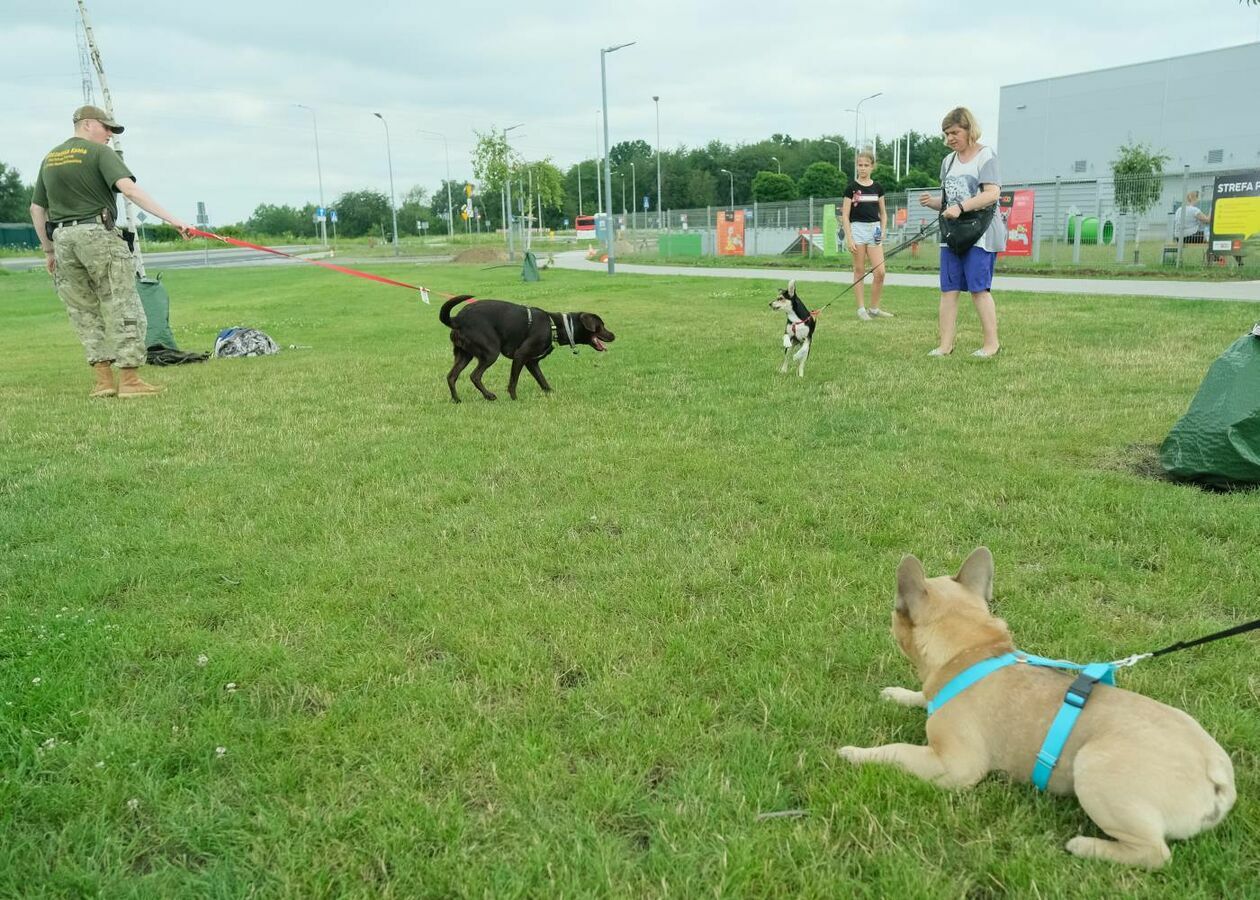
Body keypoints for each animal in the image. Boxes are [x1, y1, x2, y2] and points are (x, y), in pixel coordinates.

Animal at [841, 544, 1234, 867]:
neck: (973, 650)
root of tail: (1217, 775)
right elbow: (923, 694)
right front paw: (899, 694)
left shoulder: (953, 766)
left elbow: (897, 750)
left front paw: (856, 754)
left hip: (1094, 769)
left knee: (1155, 853)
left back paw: (1087, 846)